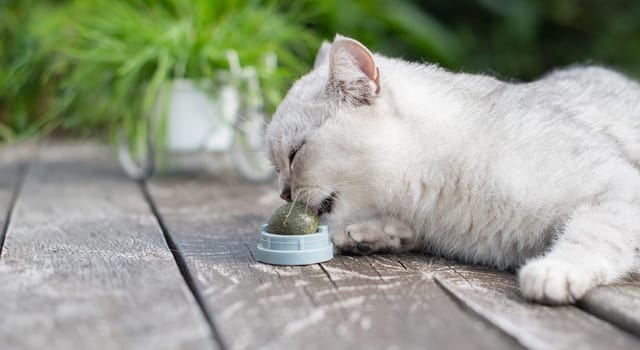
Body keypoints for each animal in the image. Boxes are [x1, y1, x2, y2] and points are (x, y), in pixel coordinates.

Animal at [264, 34, 640, 304]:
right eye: (276, 166)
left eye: (295, 155)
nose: (283, 194)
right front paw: (373, 234)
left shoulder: (619, 187)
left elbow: (592, 233)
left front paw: (555, 271)